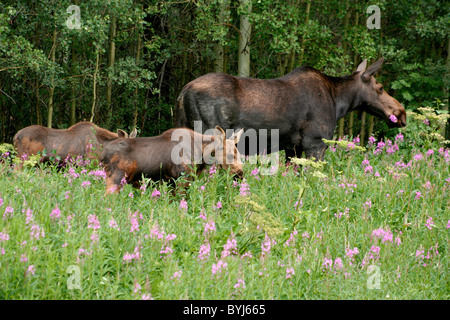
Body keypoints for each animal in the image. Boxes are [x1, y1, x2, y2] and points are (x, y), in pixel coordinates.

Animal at [100, 126, 244, 194]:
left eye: (238, 153)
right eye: (230, 155)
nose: (241, 174)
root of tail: (102, 154)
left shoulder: (171, 183)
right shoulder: (182, 179)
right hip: (116, 179)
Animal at [177, 57, 408, 160]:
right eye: (380, 87)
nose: (401, 112)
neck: (339, 103)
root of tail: (183, 92)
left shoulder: (292, 147)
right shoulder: (315, 143)